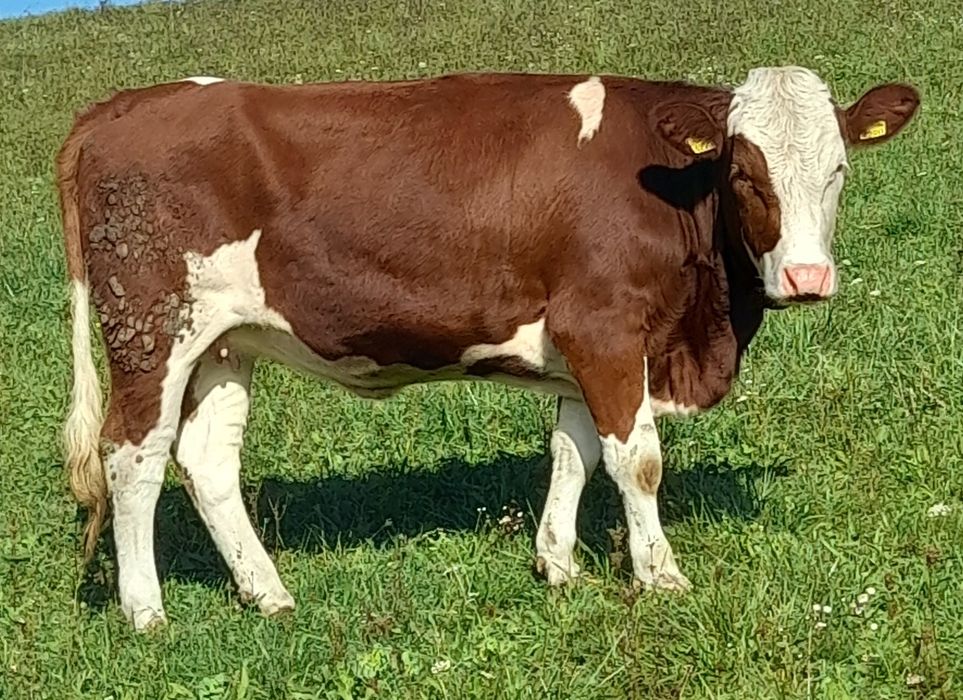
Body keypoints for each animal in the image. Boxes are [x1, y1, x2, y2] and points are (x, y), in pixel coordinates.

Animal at [58, 67, 919, 630]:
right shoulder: (605, 328)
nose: (807, 278)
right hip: (152, 325)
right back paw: (146, 611)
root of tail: (127, 104)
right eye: (743, 172)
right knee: (131, 455)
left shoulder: (580, 350)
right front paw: (659, 575)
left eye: (839, 167)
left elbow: (574, 452)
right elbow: (635, 459)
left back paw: (266, 592)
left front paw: (557, 565)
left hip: (224, 344)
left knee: (206, 459)